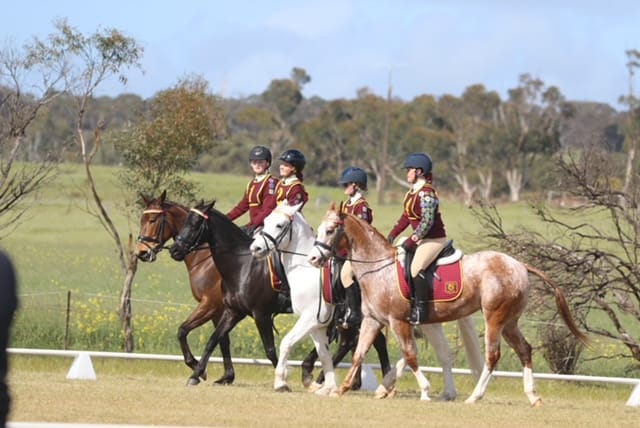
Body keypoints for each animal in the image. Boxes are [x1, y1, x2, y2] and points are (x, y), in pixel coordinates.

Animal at [169, 200, 338, 395]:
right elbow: (213, 340)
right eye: (185, 221)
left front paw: (283, 378)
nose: (174, 250)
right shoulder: (233, 312)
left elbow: (270, 349)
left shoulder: (260, 314)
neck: (242, 265)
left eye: (195, 223)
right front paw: (196, 375)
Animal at [250, 202, 484, 400]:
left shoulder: (310, 319)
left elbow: (287, 342)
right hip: (425, 322)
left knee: (410, 351)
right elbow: (324, 354)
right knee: (436, 352)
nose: (256, 249)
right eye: (266, 221)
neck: (306, 271)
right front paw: (328, 386)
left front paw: (282, 382)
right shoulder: (318, 324)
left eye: (279, 225)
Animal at [307, 203, 588, 404]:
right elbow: (359, 354)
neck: (378, 268)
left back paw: (475, 396)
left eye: (330, 231)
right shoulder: (373, 321)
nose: (313, 259)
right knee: (525, 350)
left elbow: (410, 355)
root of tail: (519, 265)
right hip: (509, 322)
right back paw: (532, 396)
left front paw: (424, 391)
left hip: (494, 318)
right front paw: (342, 388)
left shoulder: (399, 322)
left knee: (493, 356)